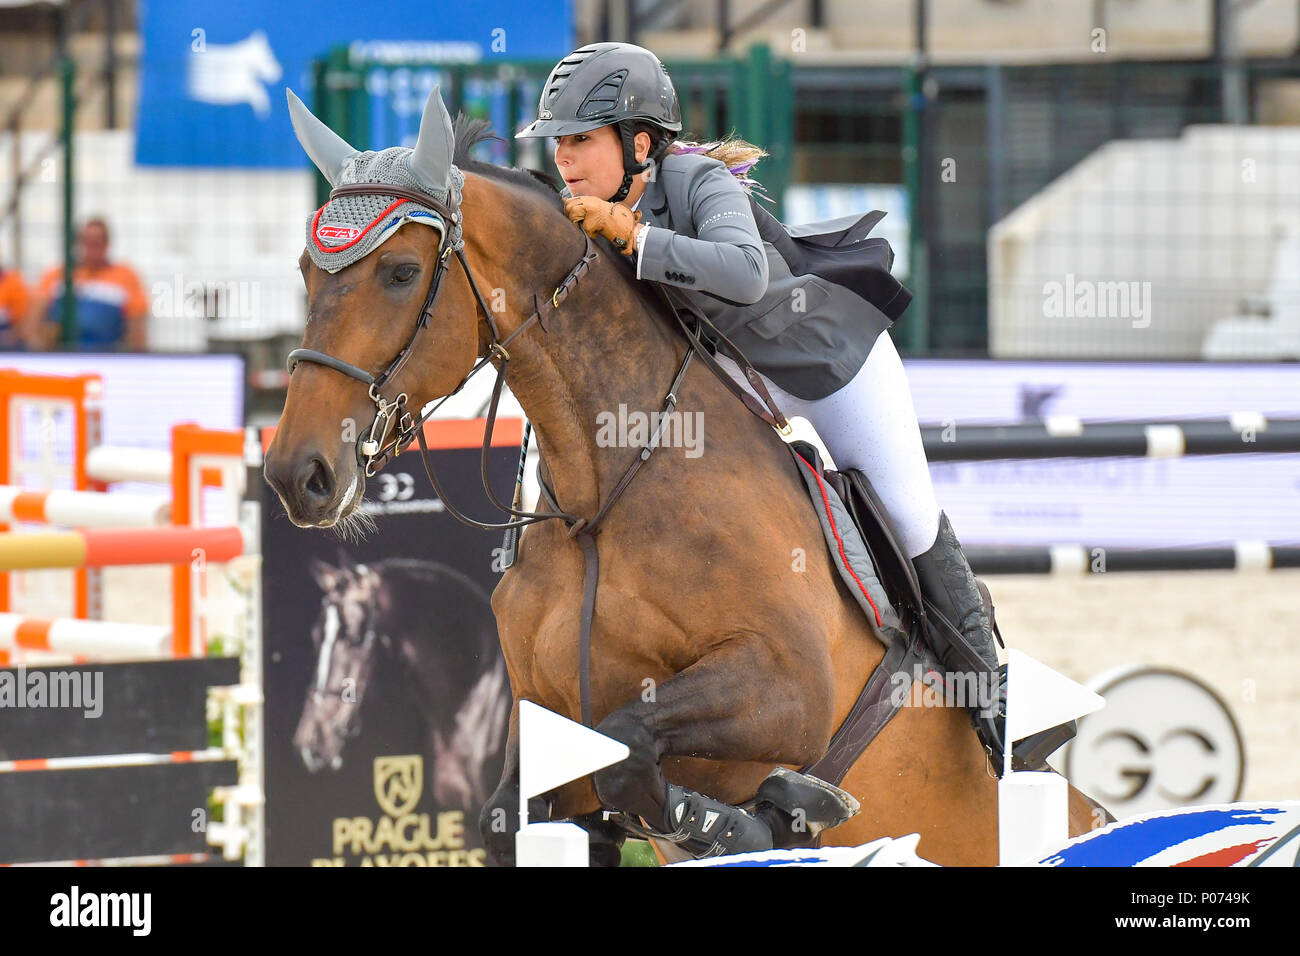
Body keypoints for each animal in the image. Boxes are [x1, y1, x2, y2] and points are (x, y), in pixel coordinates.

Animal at [261, 89, 1107, 868]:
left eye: (402, 273)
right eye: (304, 271)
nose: (296, 474)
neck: (604, 495)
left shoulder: (788, 686)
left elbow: (632, 747)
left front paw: (764, 815)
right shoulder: (542, 711)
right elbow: (522, 807)